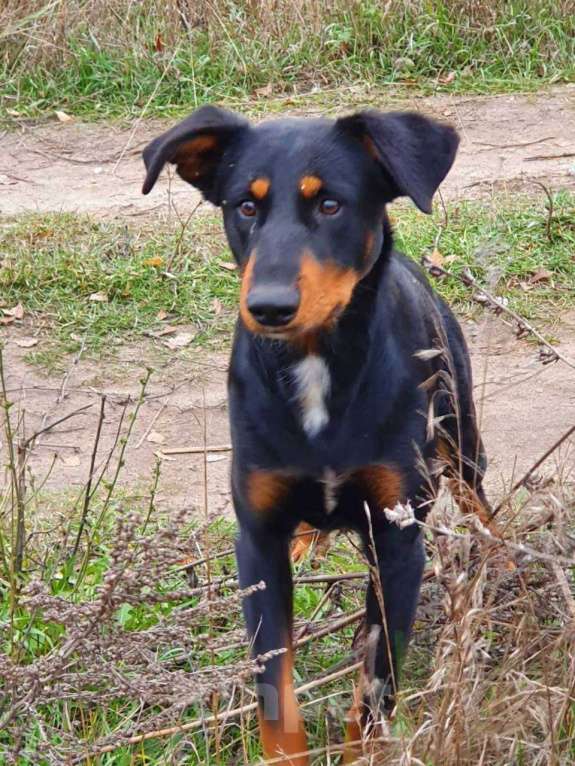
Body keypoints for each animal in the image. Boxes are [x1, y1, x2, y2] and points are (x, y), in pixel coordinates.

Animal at [142, 105, 498, 764]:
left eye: (330, 204)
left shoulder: (398, 540)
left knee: (479, 502)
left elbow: (376, 688)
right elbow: (275, 693)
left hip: (459, 437)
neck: (314, 366)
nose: (268, 306)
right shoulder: (257, 541)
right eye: (245, 206)